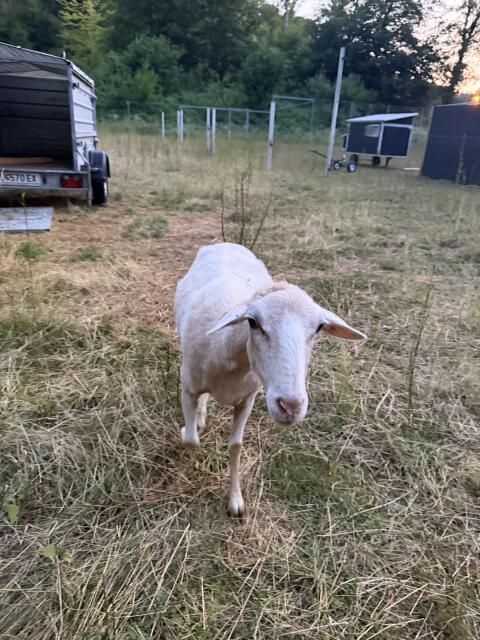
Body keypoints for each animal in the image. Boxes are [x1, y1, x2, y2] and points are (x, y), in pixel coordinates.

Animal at [174, 242, 366, 515]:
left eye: (319, 327)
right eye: (253, 322)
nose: (291, 407)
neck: (226, 350)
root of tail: (226, 243)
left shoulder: (248, 398)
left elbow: (236, 446)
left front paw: (235, 500)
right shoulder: (187, 387)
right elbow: (191, 441)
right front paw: (187, 432)